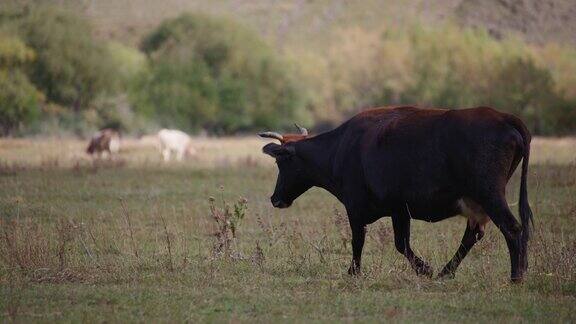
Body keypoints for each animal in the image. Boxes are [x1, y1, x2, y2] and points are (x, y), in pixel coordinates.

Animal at [258, 107, 532, 282]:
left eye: (282, 161)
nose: (274, 198)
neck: (341, 148)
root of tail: (504, 118)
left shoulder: (356, 208)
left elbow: (361, 240)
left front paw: (354, 272)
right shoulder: (400, 210)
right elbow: (401, 244)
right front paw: (426, 269)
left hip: (490, 196)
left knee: (512, 228)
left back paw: (516, 276)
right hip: (477, 203)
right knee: (473, 235)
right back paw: (447, 272)